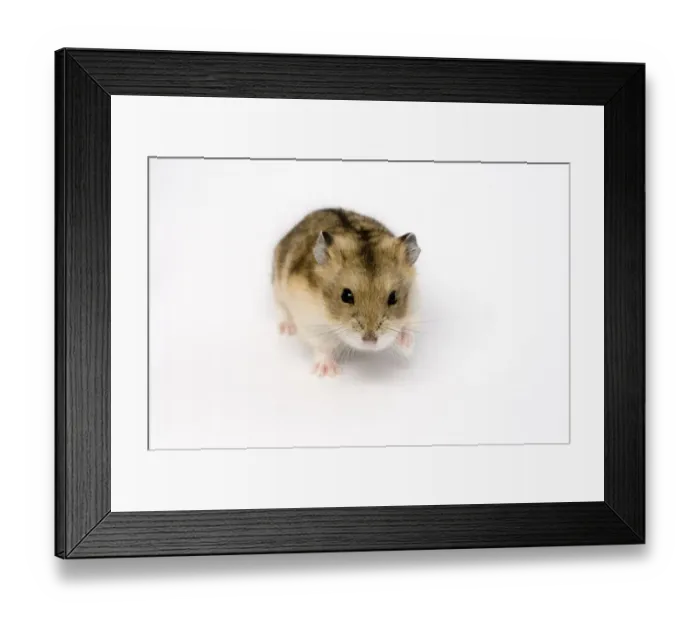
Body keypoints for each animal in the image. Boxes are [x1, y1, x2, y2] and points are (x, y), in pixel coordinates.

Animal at [273, 208, 421, 377]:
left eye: (393, 297)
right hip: (277, 287)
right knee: (281, 308)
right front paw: (328, 373)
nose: (370, 341)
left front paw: (405, 343)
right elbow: (323, 347)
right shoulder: (311, 322)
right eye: (346, 296)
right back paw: (287, 329)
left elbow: (408, 327)